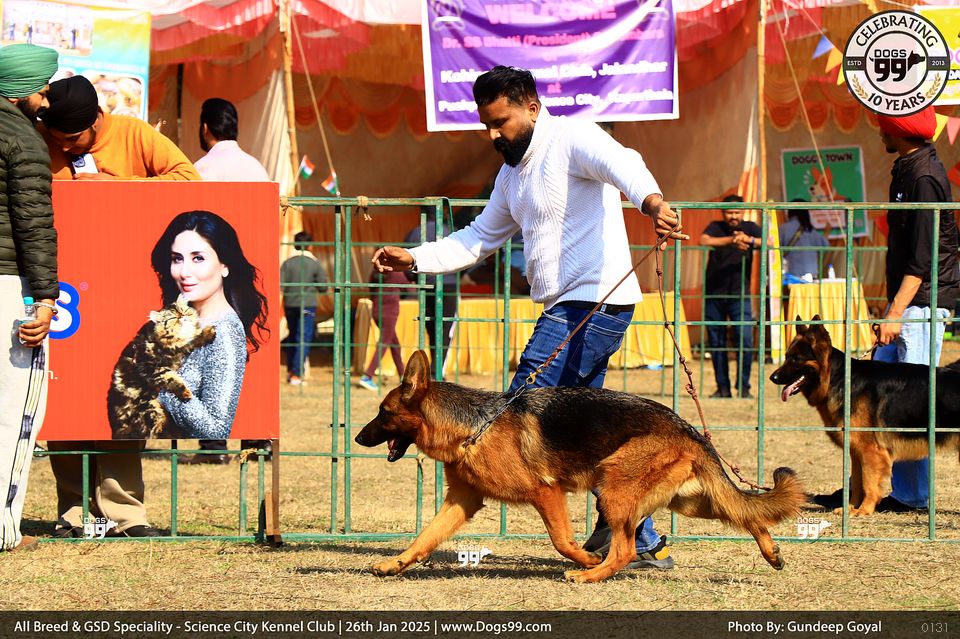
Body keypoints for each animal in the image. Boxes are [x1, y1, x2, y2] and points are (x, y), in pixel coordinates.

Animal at [107, 296, 217, 439]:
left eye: (184, 310)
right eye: (172, 318)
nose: (182, 316)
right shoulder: (151, 366)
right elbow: (172, 377)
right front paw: (186, 393)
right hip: (148, 405)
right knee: (155, 431)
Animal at [355, 350, 806, 583]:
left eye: (383, 412)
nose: (357, 438)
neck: (475, 425)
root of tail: (688, 428)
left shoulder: (545, 492)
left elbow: (561, 541)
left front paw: (585, 561)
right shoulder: (462, 502)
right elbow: (423, 538)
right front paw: (394, 564)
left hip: (614, 489)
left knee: (624, 549)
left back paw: (592, 574)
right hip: (689, 501)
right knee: (747, 513)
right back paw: (772, 552)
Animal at [770, 315, 960, 515]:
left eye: (797, 359)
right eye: (786, 357)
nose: (772, 378)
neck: (841, 379)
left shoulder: (871, 451)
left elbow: (869, 483)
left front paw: (864, 510)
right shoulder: (856, 451)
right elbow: (857, 482)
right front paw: (851, 508)